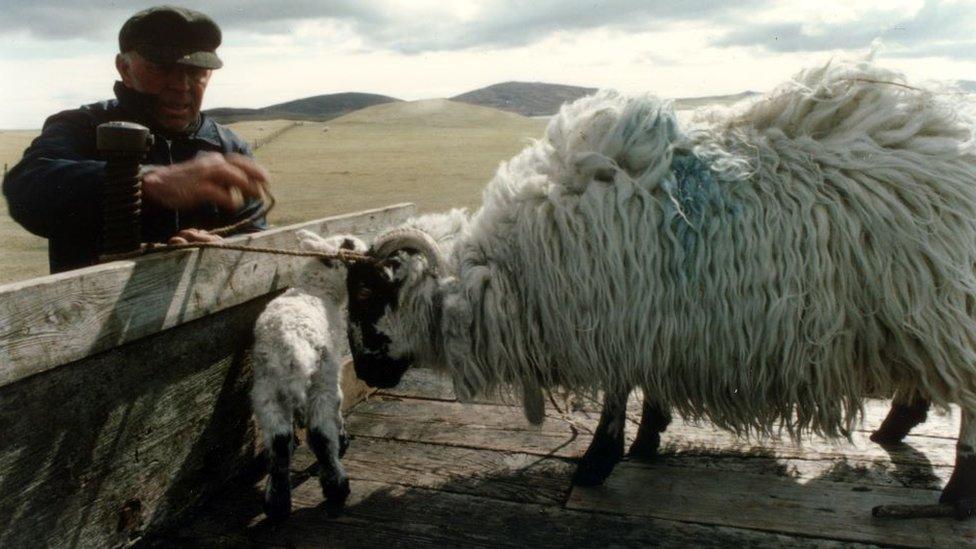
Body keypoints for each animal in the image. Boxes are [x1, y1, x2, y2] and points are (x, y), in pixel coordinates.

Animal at [252, 229, 366, 520]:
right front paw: (343, 440)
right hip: (320, 380)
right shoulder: (331, 371)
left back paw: (276, 505)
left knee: (279, 439)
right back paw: (337, 487)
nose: (369, 249)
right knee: (319, 432)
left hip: (267, 388)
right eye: (349, 245)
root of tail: (291, 345)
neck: (316, 291)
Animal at [346, 60, 976, 520]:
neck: (508, 270)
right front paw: (650, 434)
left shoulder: (619, 315)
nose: (366, 372)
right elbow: (646, 386)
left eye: (369, 298)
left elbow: (615, 396)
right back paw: (896, 426)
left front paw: (599, 463)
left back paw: (950, 500)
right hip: (915, 310)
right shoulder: (654, 315)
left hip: (944, 308)